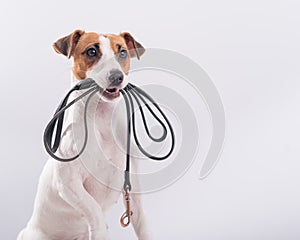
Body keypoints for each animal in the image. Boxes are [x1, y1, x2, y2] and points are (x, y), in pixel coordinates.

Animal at [17, 30, 151, 240]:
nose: (117, 76)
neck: (101, 121)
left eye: (122, 52)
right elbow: (94, 209)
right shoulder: (68, 184)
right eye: (92, 51)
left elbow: (142, 222)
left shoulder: (133, 189)